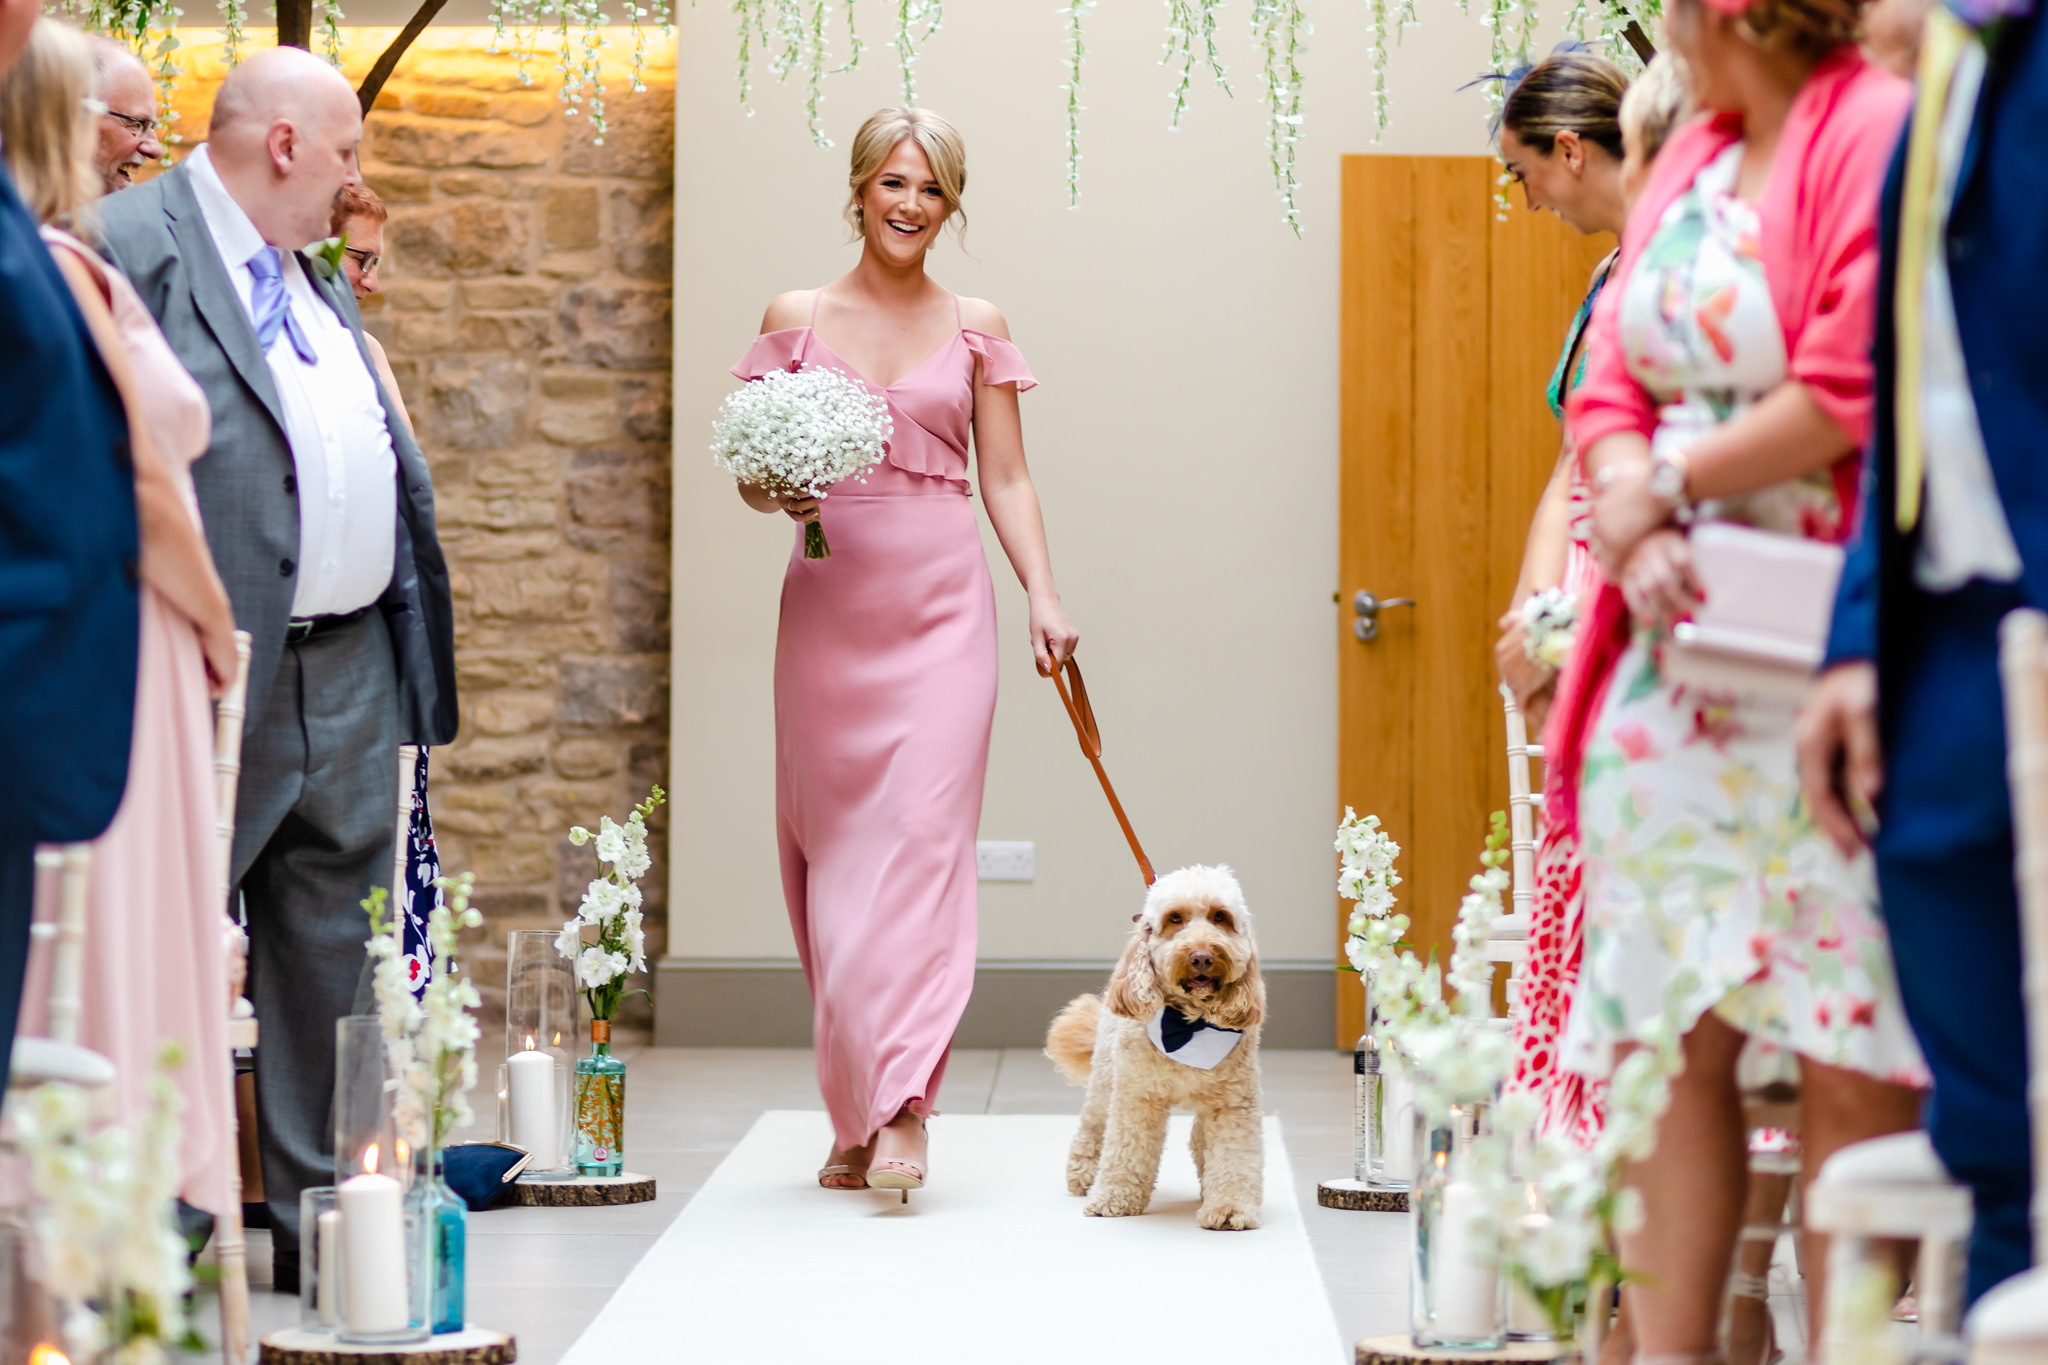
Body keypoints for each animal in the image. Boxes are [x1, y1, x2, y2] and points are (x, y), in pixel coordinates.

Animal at [1048, 871, 1253, 1236]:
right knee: (1092, 1124)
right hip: (1106, 1075)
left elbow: (1233, 1158)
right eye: (1175, 918)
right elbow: (1126, 1149)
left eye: (1220, 917)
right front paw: (1113, 1198)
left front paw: (1229, 1208)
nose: (1202, 956)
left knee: (1199, 1139)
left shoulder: (1232, 1104)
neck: (1189, 1025)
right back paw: (1083, 1174)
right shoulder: (1136, 1095)